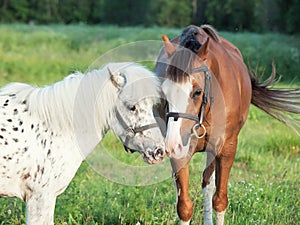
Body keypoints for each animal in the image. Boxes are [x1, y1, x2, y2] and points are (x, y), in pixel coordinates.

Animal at [155, 24, 300, 225]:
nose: (173, 143)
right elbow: (184, 206)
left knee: (208, 185)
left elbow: (220, 200)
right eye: (164, 92)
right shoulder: (180, 152)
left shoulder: (227, 148)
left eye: (197, 92)